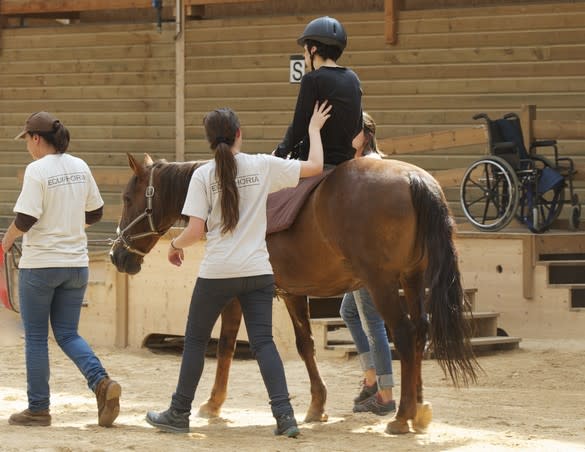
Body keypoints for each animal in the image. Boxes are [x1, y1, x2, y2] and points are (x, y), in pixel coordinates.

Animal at [110, 153, 480, 434]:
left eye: (128, 199)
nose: (117, 255)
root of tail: (413, 178)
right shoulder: (292, 293)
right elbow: (305, 345)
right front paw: (317, 405)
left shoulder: (238, 290)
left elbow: (227, 344)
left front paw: (213, 403)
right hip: (413, 280)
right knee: (420, 332)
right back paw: (418, 407)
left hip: (383, 284)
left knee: (403, 334)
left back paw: (402, 416)